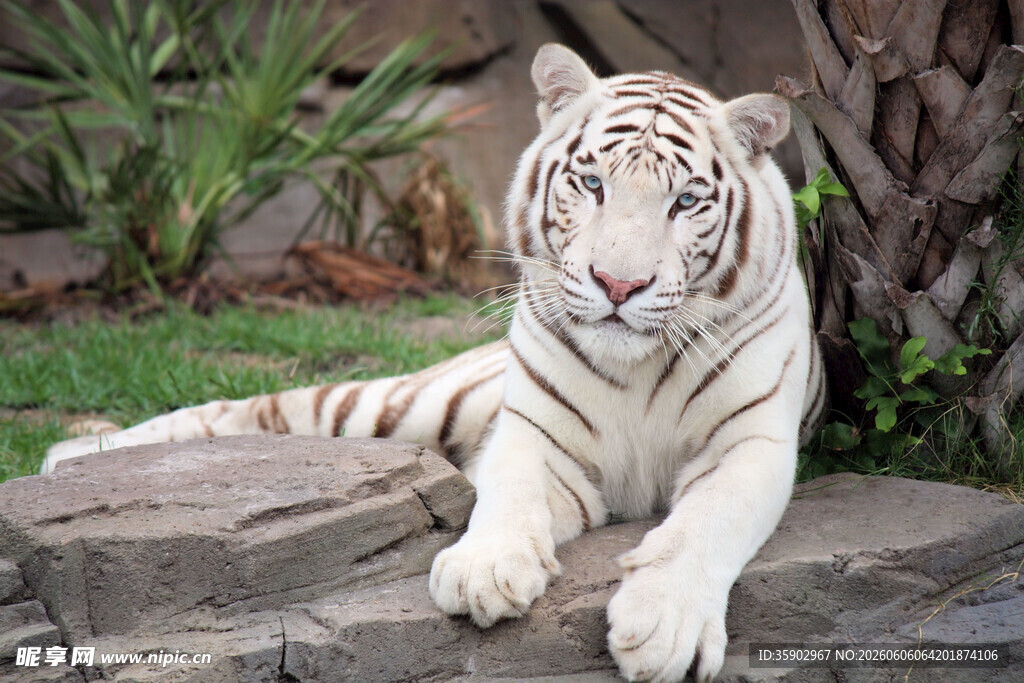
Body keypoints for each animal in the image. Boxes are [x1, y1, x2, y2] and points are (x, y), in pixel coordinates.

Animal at [42, 44, 825, 682]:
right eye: (593, 185)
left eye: (685, 201)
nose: (617, 284)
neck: (634, 369)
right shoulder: (533, 431)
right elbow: (507, 490)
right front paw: (484, 570)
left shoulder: (751, 442)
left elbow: (706, 523)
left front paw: (664, 627)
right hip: (402, 407)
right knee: (258, 409)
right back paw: (73, 455)